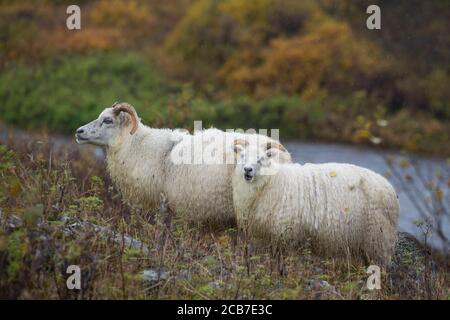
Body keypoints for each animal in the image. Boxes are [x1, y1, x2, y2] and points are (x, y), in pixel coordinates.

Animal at [234, 142, 400, 264]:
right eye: (242, 155)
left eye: (260, 159)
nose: (247, 170)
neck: (271, 181)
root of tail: (389, 188)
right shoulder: (262, 237)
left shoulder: (287, 235)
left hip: (378, 242)